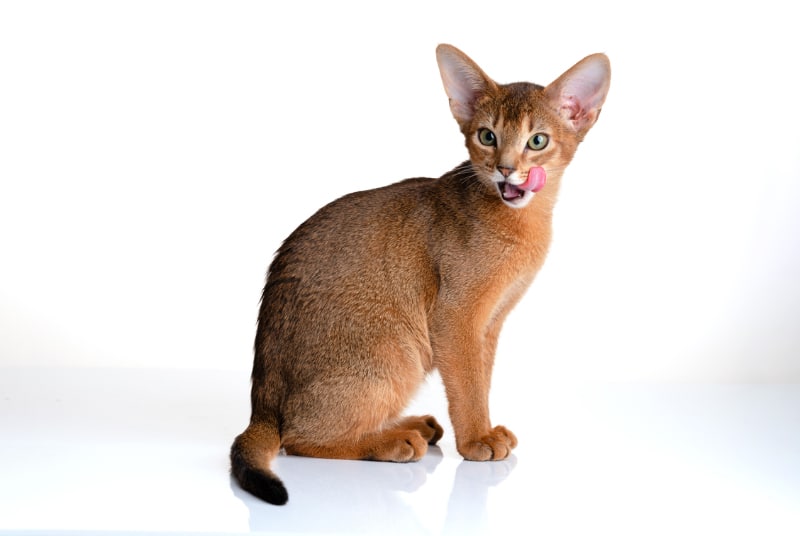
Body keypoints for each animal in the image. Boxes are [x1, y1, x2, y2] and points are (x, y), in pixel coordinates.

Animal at [231, 43, 612, 506]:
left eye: (537, 140)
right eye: (487, 136)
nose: (506, 169)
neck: (521, 221)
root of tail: (261, 406)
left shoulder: (490, 324)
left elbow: (480, 380)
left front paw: (483, 429)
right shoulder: (456, 317)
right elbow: (467, 385)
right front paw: (477, 440)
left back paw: (410, 426)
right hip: (396, 351)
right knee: (299, 437)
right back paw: (390, 442)